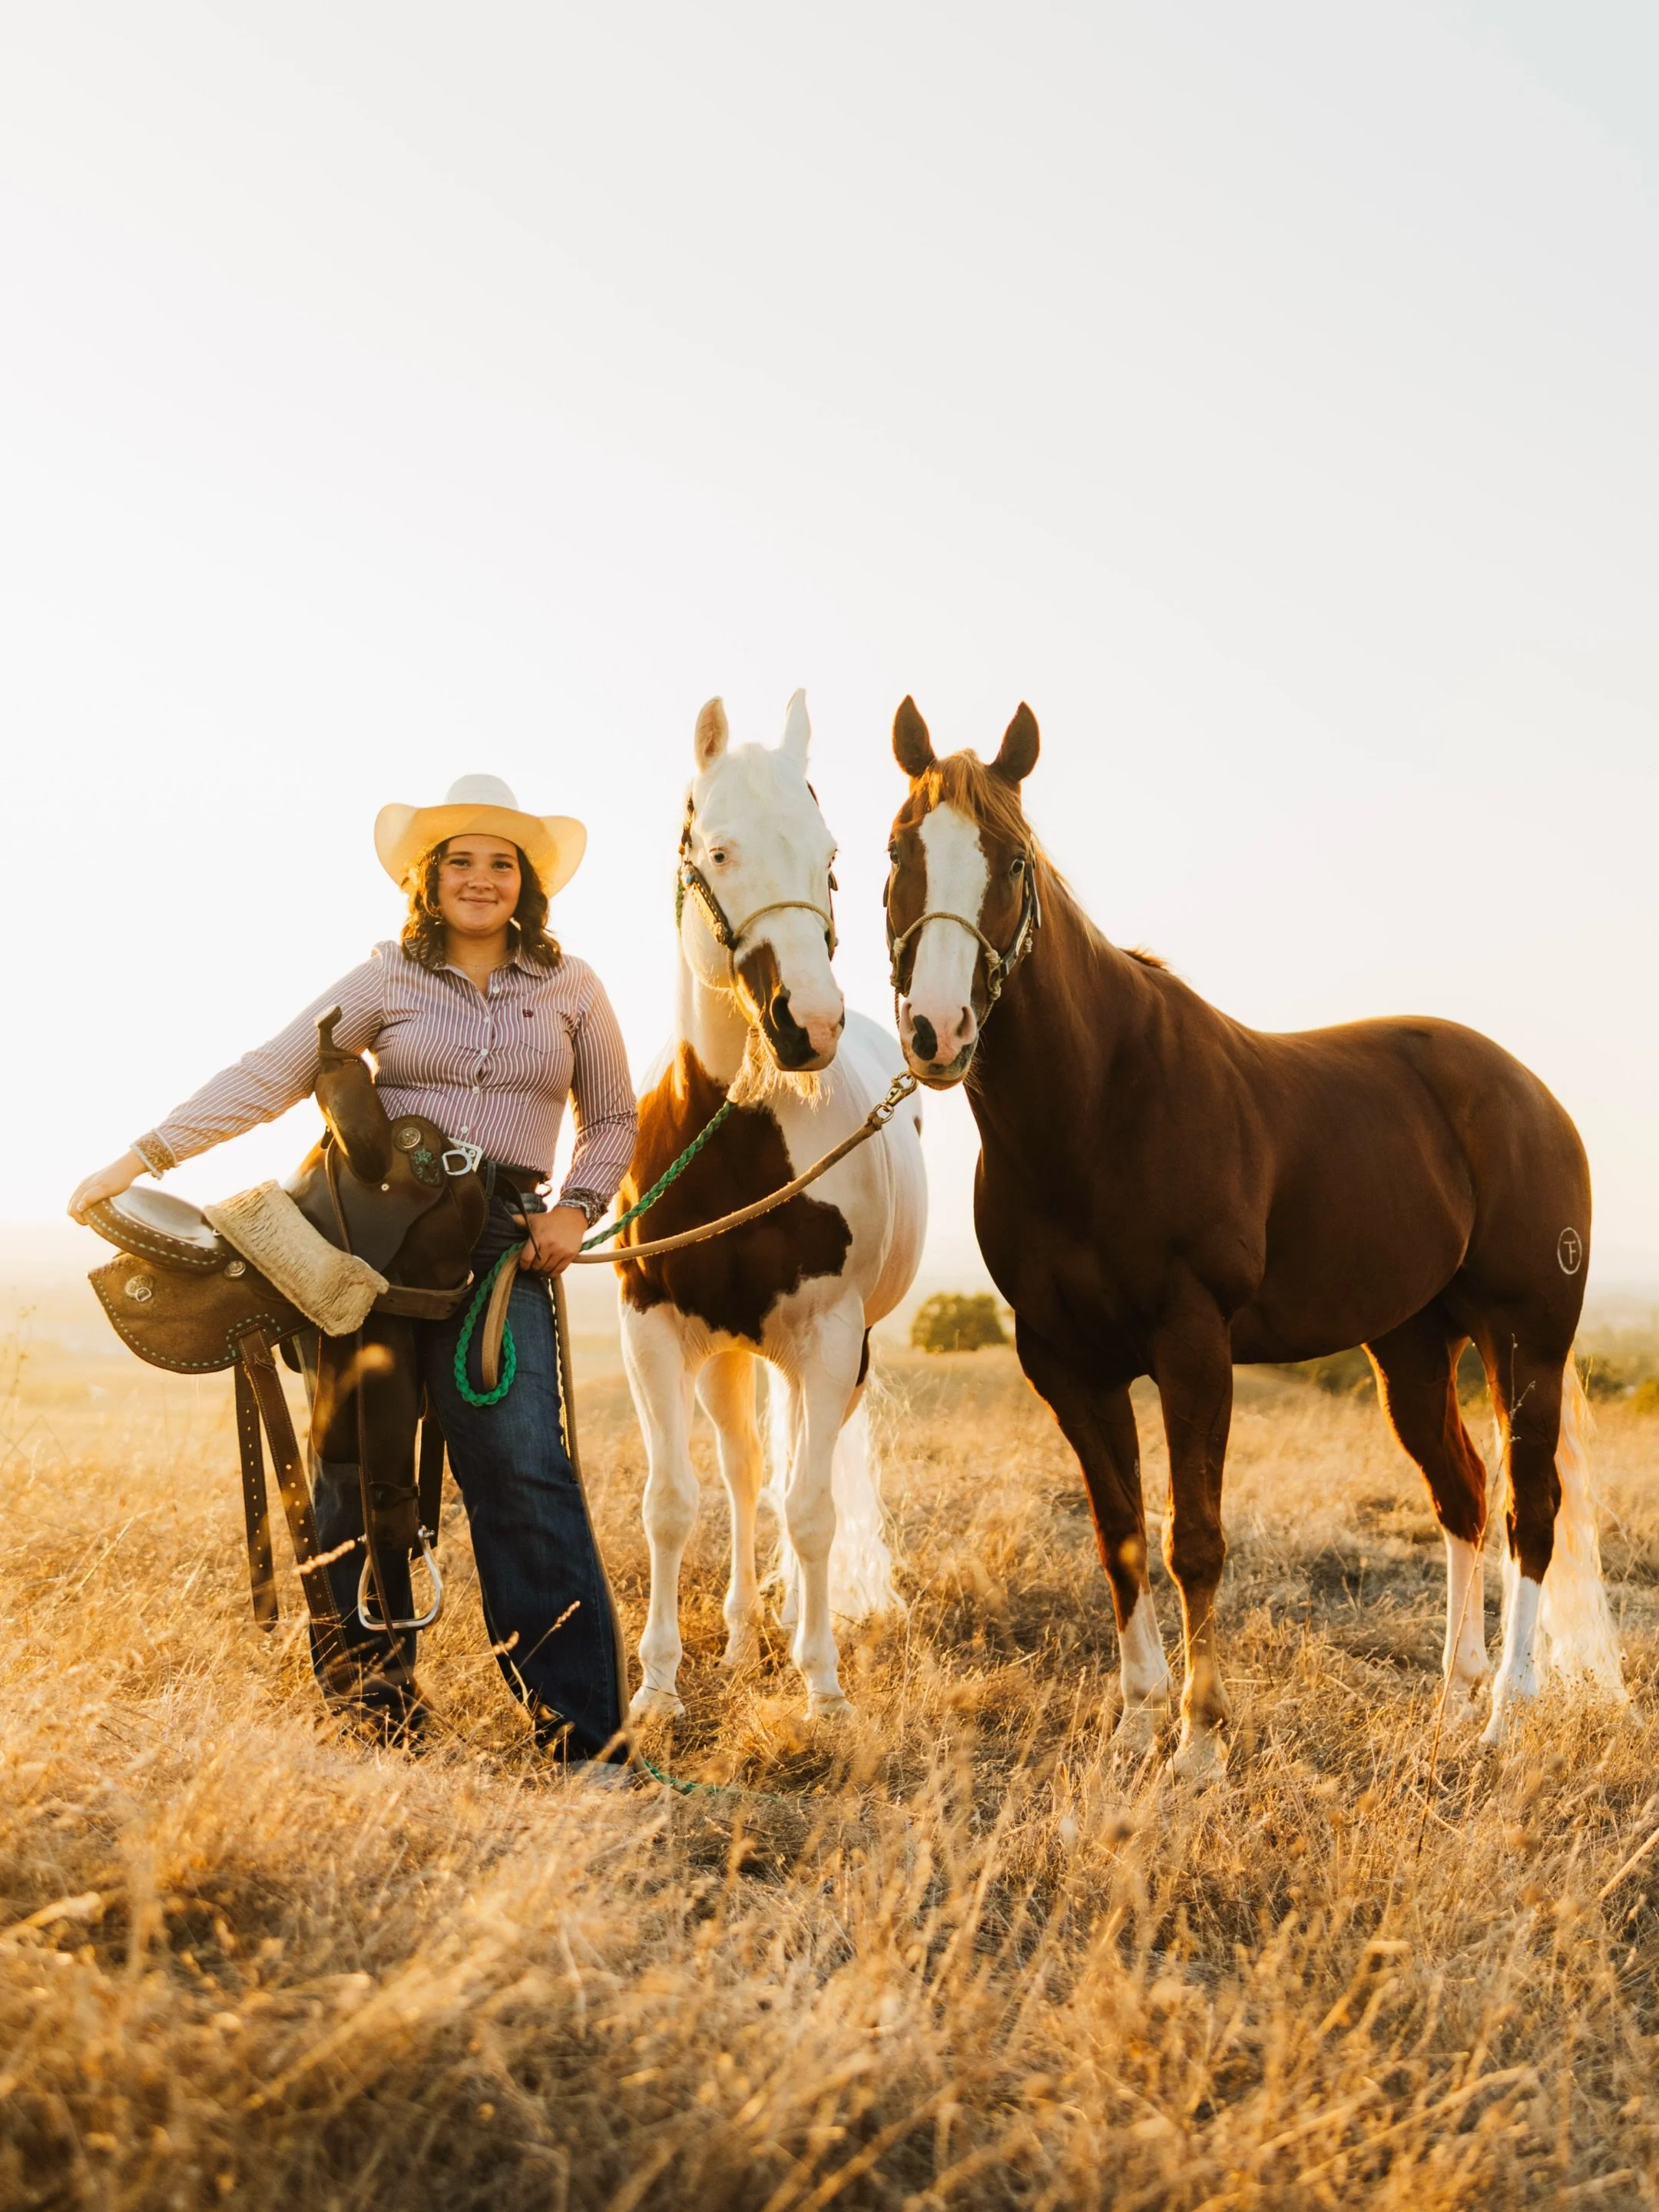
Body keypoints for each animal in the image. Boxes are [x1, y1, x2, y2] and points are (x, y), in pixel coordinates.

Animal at [618, 691, 927, 1721]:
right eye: (719, 852)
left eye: (830, 857)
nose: (811, 1024)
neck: (739, 1136)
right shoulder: (653, 1330)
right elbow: (672, 1503)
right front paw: (657, 1685)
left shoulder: (830, 1341)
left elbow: (814, 1511)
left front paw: (822, 1685)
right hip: (728, 1357)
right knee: (748, 1471)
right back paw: (745, 1634)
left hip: (820, 1357)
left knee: (794, 1479)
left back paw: (790, 1633)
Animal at [883, 696, 1622, 1773]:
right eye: (898, 849)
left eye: (1014, 860)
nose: (938, 1032)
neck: (1101, 1104)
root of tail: (1530, 1095)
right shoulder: (1066, 1363)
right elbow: (1121, 1538)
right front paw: (1135, 1726)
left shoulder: (1194, 1346)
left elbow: (1194, 1539)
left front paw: (1199, 1740)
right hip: (1413, 1347)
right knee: (1464, 1496)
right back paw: (1451, 1704)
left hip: (1524, 1339)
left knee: (1533, 1508)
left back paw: (1504, 1716)